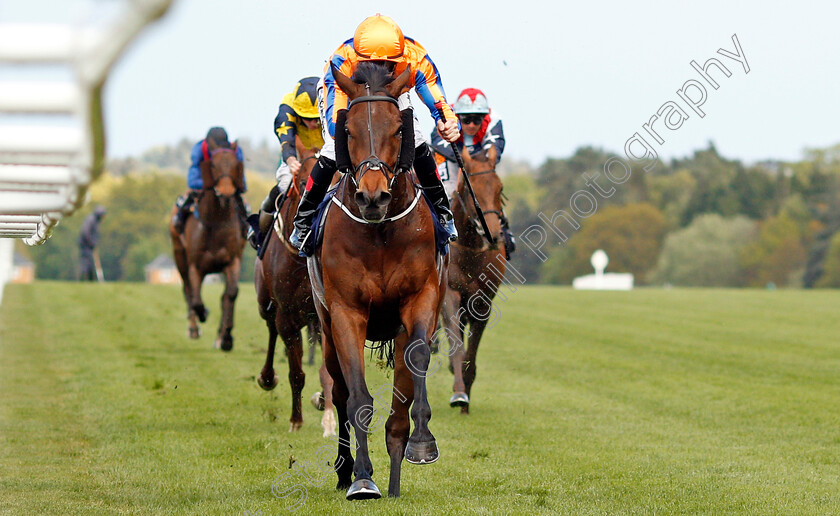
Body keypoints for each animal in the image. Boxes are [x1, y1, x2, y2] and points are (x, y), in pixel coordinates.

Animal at [170, 137, 246, 350]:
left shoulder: (232, 261)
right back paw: (193, 328)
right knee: (188, 290)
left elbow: (230, 294)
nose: (226, 192)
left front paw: (226, 337)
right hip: (179, 256)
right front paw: (203, 314)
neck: (216, 221)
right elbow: (196, 299)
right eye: (213, 164)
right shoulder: (195, 266)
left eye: (235, 164)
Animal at [256, 137, 334, 436]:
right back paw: (267, 377)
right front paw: (296, 420)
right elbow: (296, 373)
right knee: (270, 330)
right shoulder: (287, 315)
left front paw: (328, 415)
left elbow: (328, 371)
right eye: (303, 181)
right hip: (266, 303)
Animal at [308, 61, 450, 500]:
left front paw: (423, 442)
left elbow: (417, 363)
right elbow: (357, 399)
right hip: (326, 328)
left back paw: (396, 479)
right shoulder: (345, 311)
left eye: (399, 129)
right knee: (338, 391)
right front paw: (362, 478)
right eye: (349, 130)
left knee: (398, 407)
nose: (373, 198)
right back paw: (346, 470)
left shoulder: (421, 299)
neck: (381, 231)